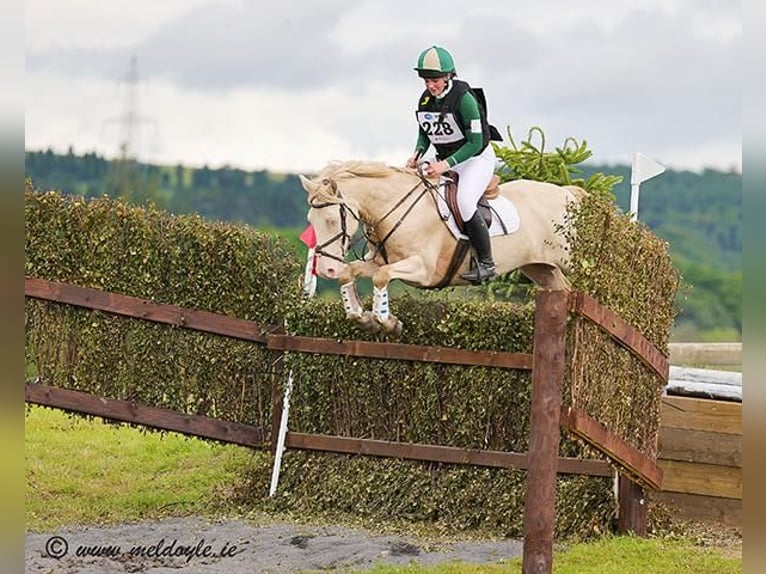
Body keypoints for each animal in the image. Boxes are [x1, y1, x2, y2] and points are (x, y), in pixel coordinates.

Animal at [298, 160, 584, 336]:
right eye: (311, 220)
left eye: (332, 220)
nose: (326, 270)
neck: (396, 209)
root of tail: (567, 194)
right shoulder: (379, 261)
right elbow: (353, 272)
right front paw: (362, 316)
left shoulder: (423, 270)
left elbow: (381, 276)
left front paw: (387, 322)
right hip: (539, 268)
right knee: (562, 288)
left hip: (572, 259)